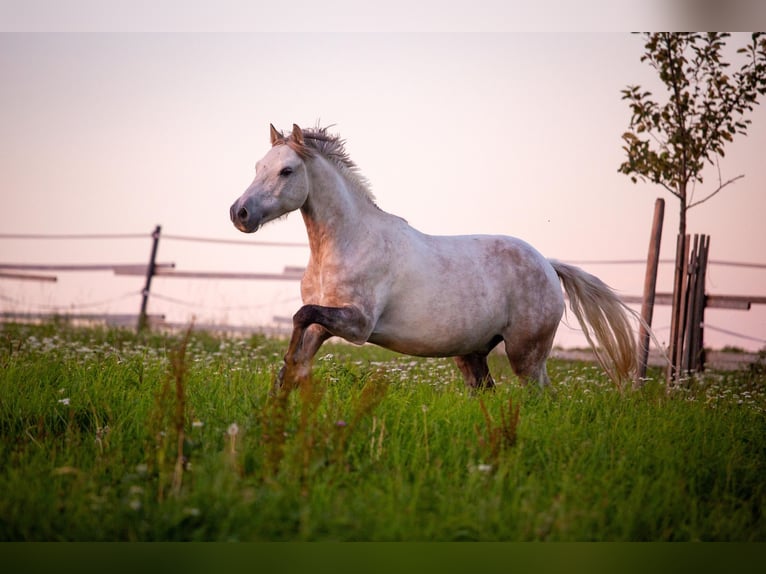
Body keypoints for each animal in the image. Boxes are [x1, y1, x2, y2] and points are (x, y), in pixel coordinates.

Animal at [230, 124, 638, 392]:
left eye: (287, 170)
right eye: (258, 167)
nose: (240, 213)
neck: (346, 241)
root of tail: (549, 266)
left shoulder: (358, 325)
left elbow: (301, 316)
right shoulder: (325, 324)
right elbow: (299, 338)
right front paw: (282, 388)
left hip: (527, 354)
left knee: (542, 397)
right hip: (472, 354)